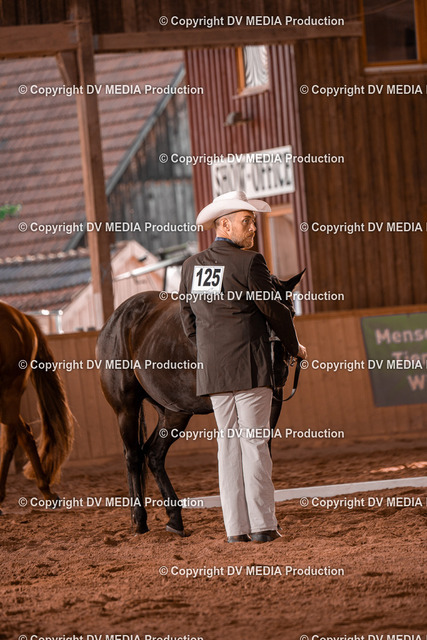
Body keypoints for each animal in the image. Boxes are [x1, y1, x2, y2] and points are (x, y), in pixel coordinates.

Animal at [97, 270, 305, 536]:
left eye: (291, 312)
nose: (278, 370)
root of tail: (115, 319)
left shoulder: (270, 407)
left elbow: (261, 454)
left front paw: (269, 522)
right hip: (126, 408)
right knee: (133, 456)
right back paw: (140, 521)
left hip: (174, 412)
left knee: (153, 454)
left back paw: (175, 519)